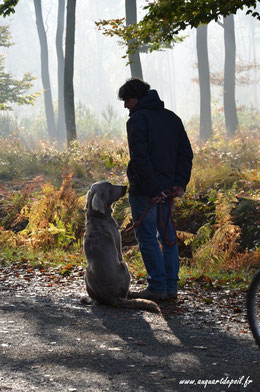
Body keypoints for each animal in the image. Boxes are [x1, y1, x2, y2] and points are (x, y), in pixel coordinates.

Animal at [80, 180, 160, 312]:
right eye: (110, 186)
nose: (125, 186)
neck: (97, 217)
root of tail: (111, 296)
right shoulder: (119, 245)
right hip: (124, 265)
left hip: (87, 272)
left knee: (95, 300)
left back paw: (87, 299)